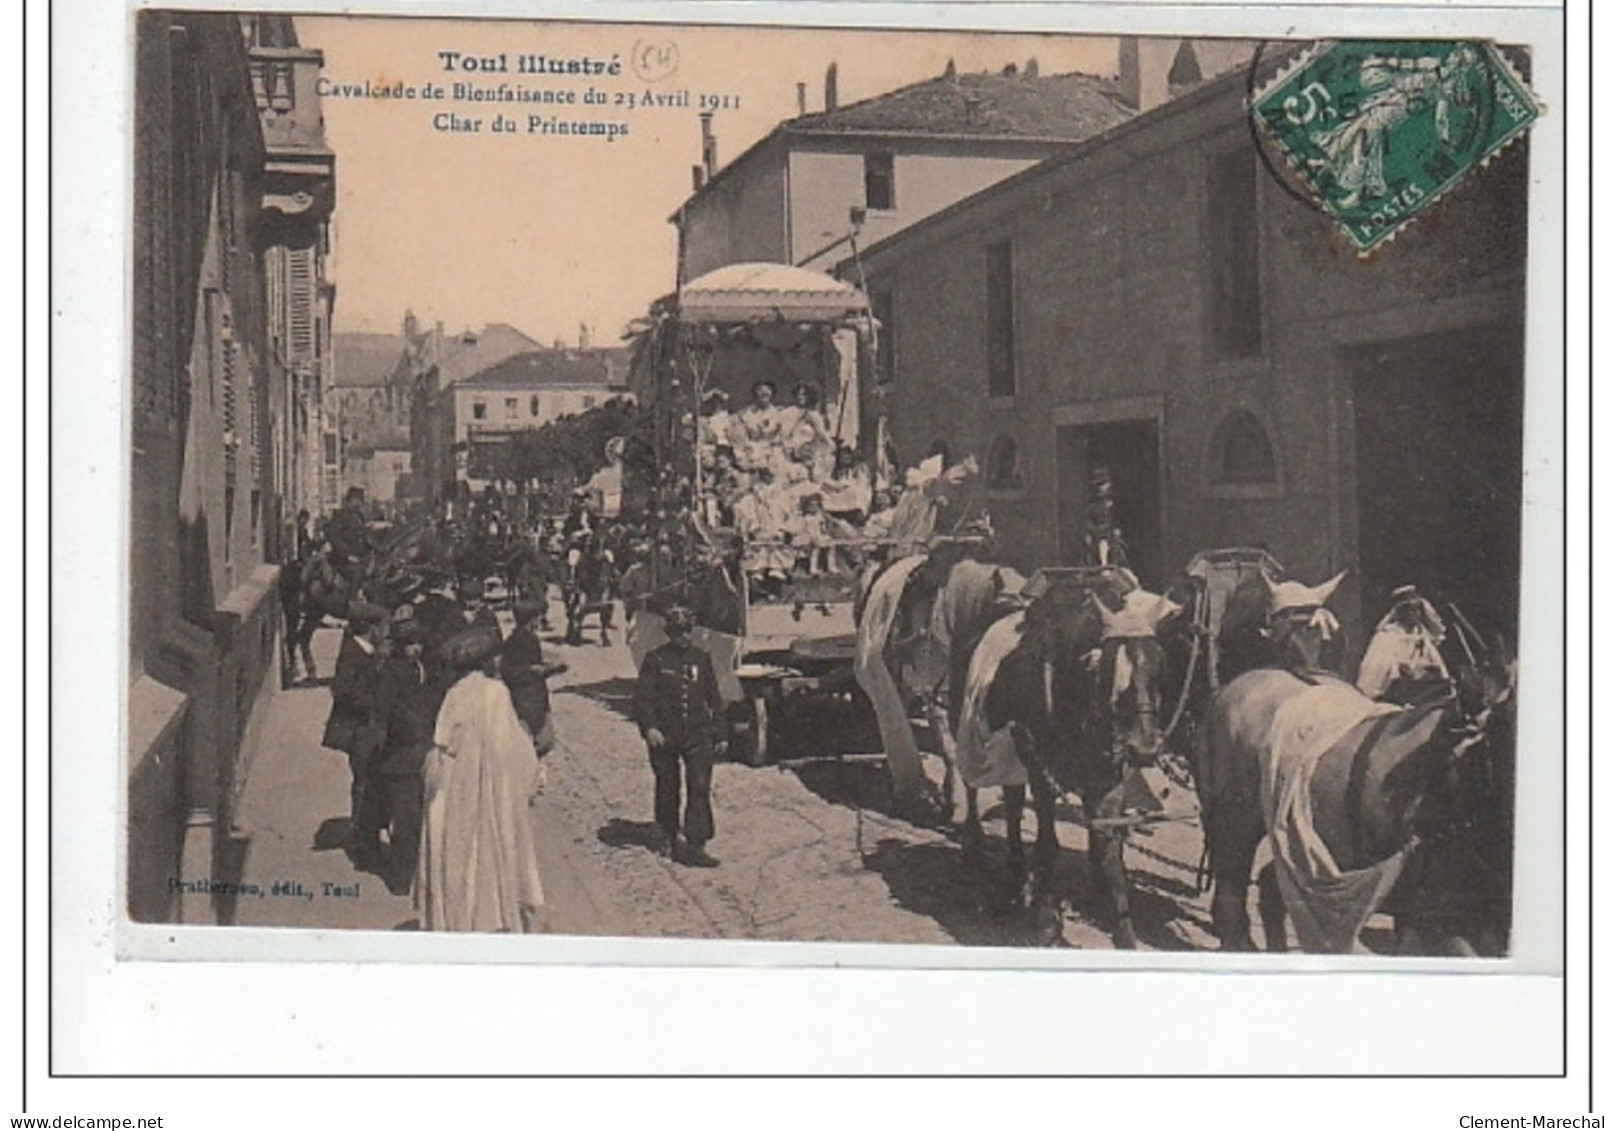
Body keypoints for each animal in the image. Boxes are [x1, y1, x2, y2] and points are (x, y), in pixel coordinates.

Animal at [1201, 617, 1511, 956]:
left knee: (1272, 881)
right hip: (1238, 811)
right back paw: (1237, 939)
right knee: (1233, 871)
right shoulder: (1424, 907)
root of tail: (1230, 687)